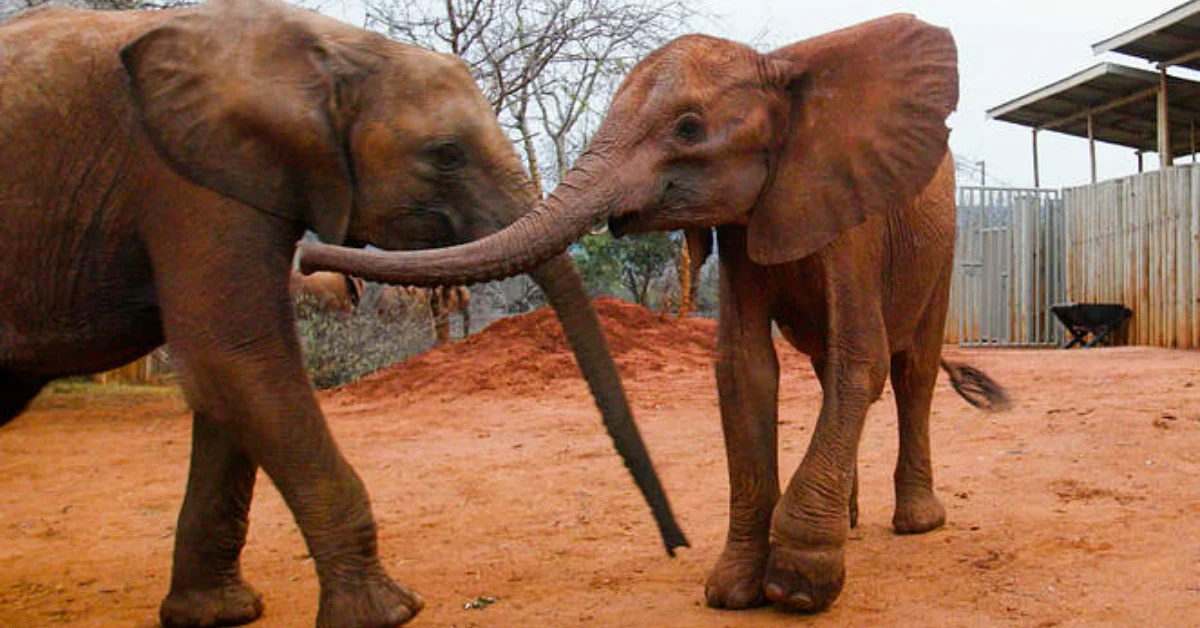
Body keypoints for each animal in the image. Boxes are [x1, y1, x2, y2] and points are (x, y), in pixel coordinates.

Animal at [0, 1, 686, 626]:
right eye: (445, 154)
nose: (676, 546)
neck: (328, 52)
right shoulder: (184, 182)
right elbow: (237, 359)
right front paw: (388, 613)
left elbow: (229, 376)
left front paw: (219, 615)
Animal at [298, 14, 1011, 615]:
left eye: (689, 128)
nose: (305, 256)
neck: (777, 68)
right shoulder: (744, 224)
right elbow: (744, 368)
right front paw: (732, 589)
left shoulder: (851, 217)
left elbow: (858, 359)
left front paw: (797, 586)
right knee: (827, 369)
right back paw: (855, 521)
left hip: (942, 248)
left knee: (910, 371)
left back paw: (916, 523)